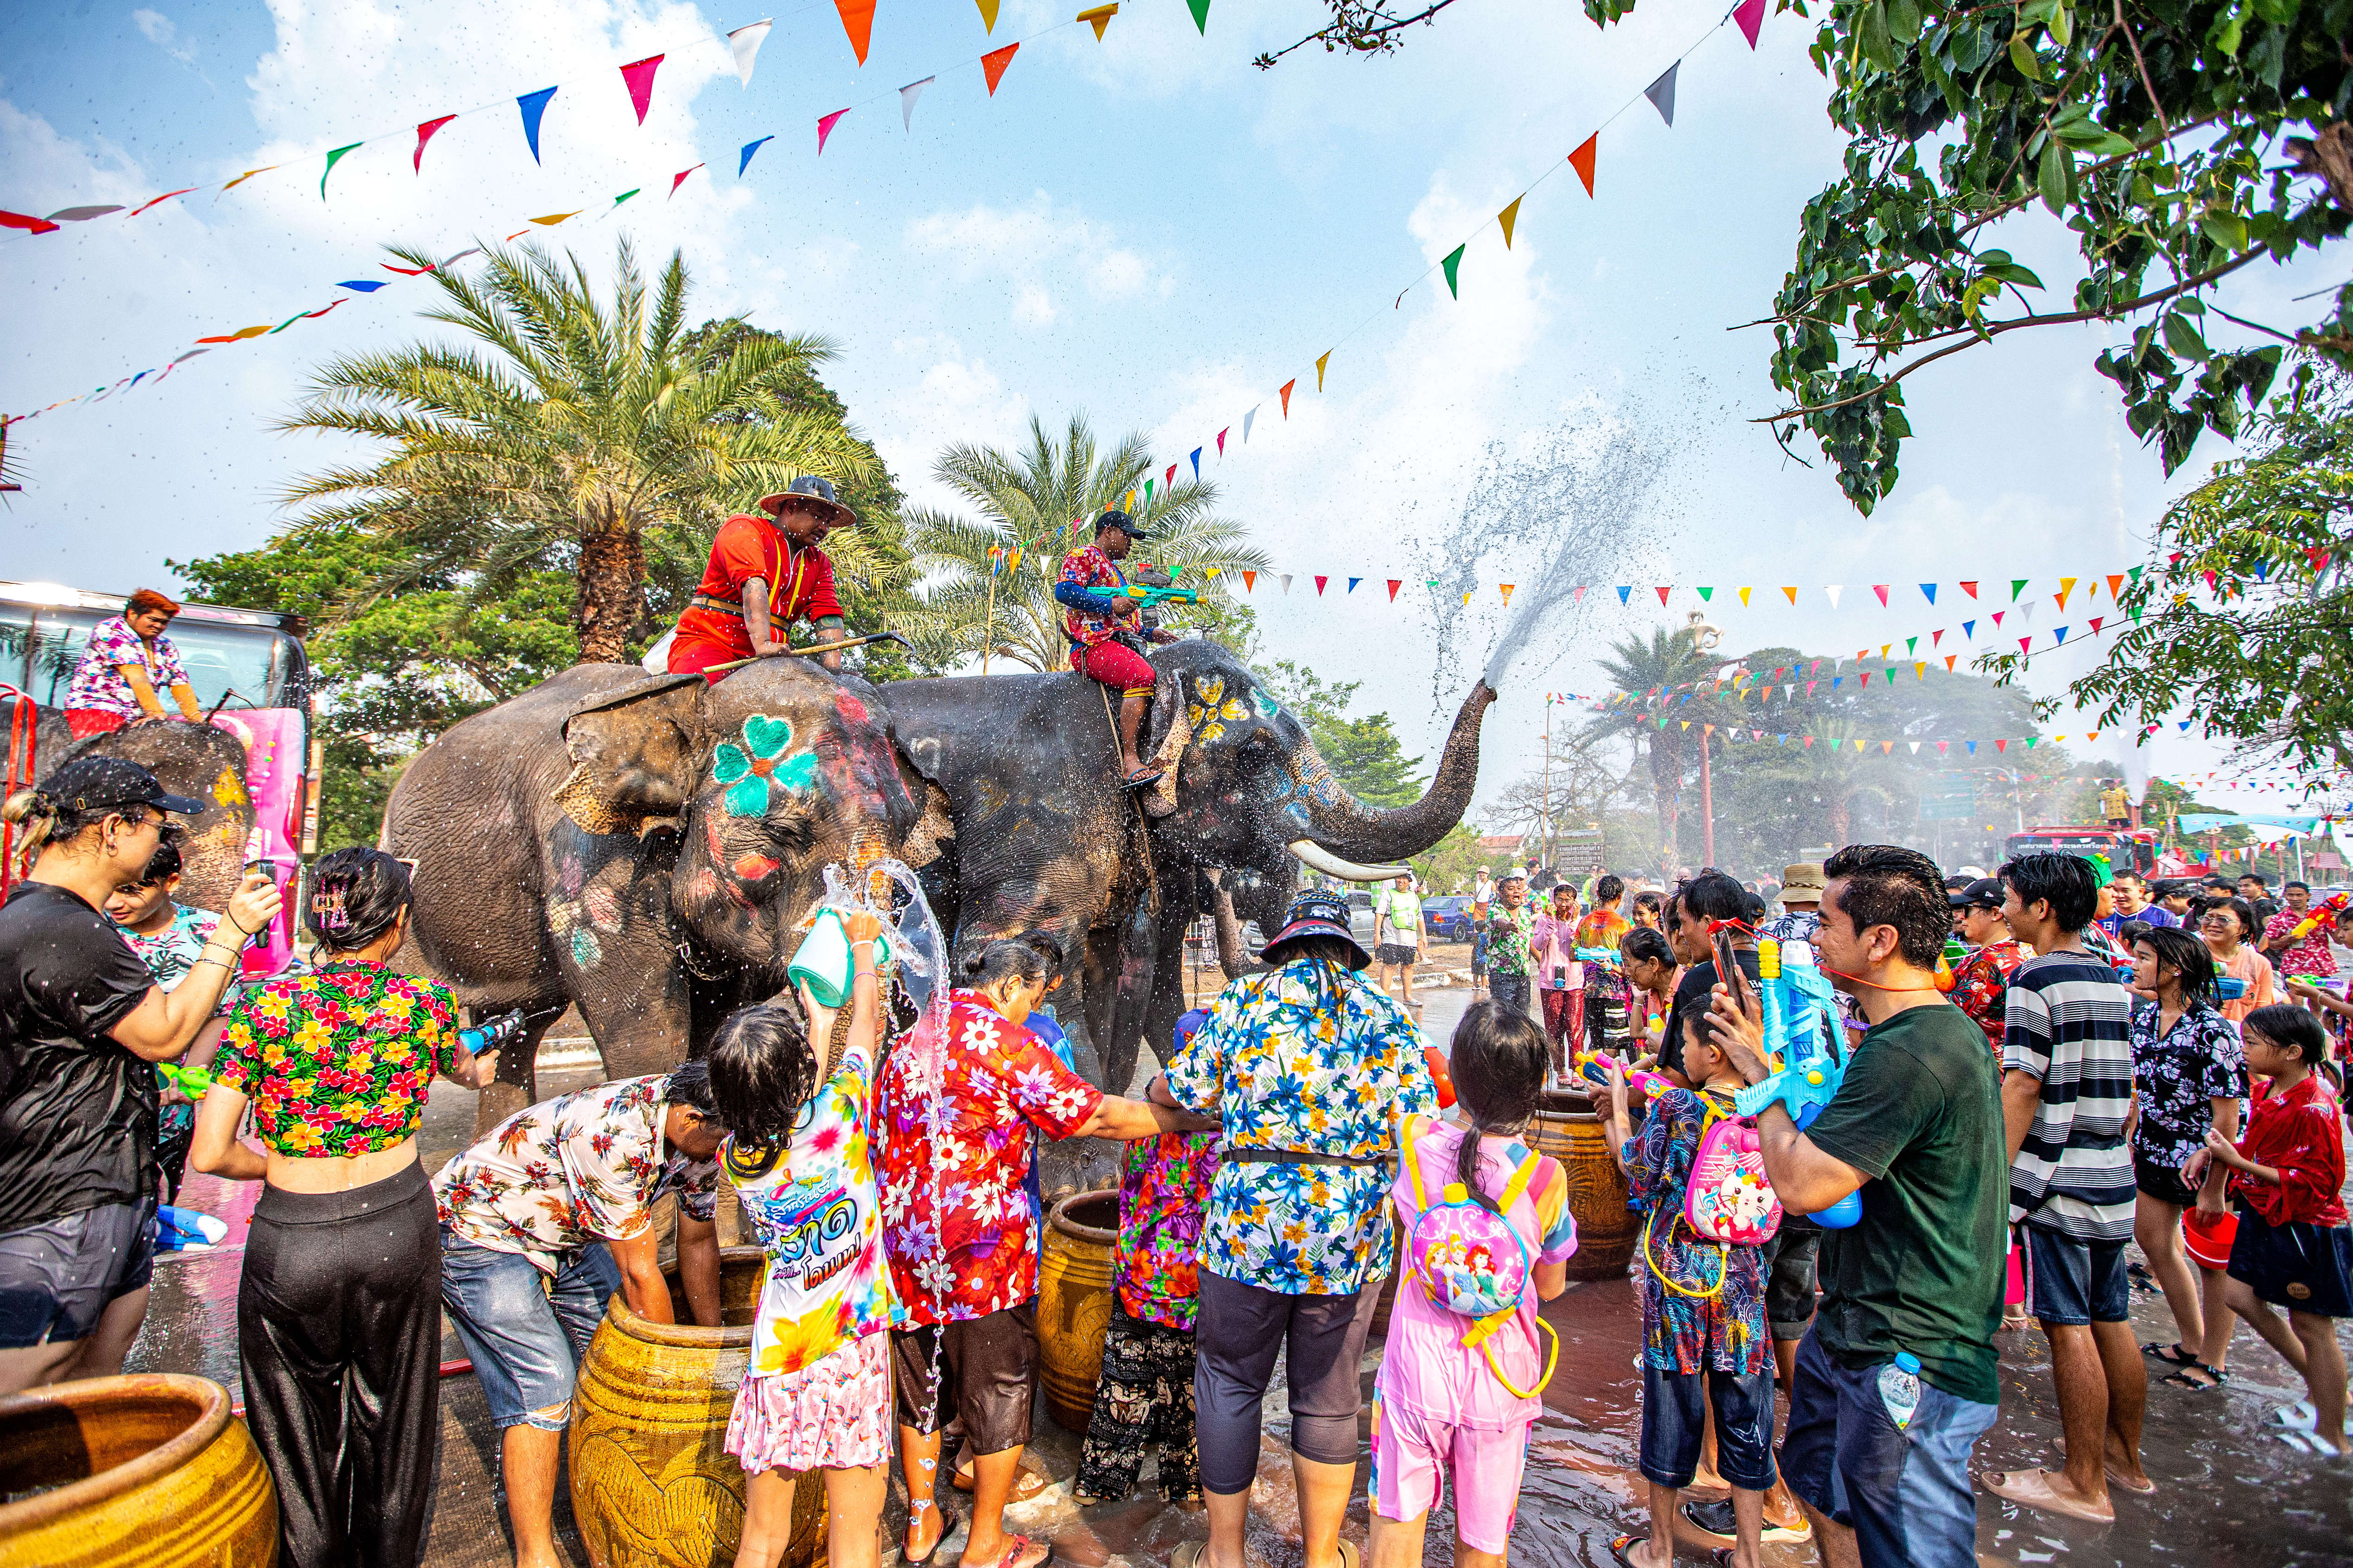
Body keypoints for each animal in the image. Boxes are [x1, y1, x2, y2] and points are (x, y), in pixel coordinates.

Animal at [381, 654, 941, 1125]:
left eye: (906, 830)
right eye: (785, 832)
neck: (688, 700)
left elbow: (714, 1026)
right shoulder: (588, 867)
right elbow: (646, 1036)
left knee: (521, 1031)